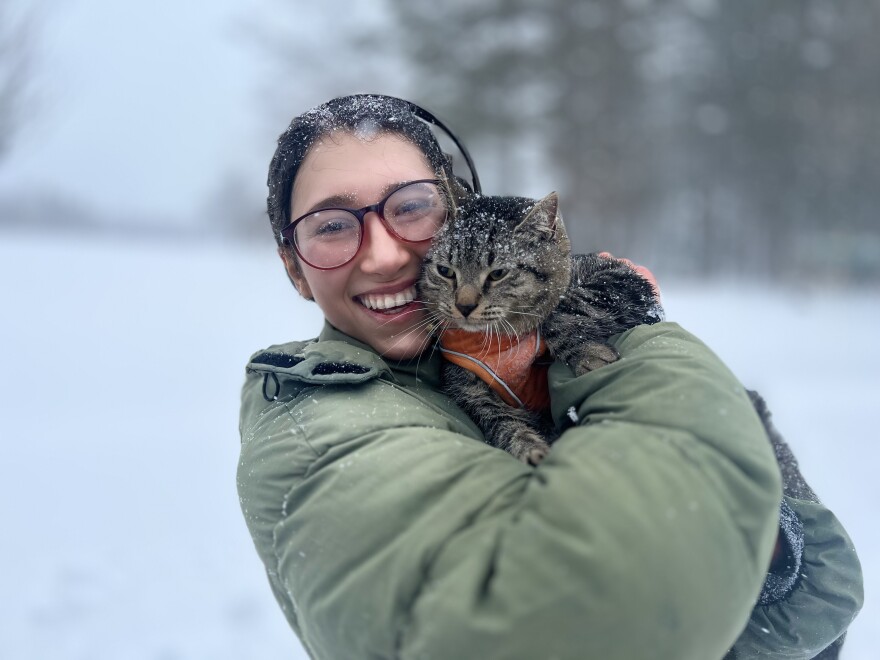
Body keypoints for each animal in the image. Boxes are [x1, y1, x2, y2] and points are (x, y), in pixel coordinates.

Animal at [420, 193, 660, 466]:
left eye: (498, 273)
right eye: (445, 271)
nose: (464, 306)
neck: (502, 341)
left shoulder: (620, 278)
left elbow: (563, 310)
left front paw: (587, 353)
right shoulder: (469, 390)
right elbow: (501, 422)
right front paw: (528, 447)